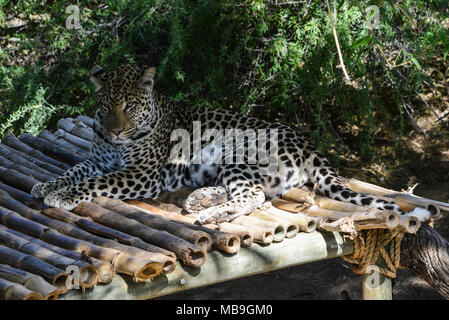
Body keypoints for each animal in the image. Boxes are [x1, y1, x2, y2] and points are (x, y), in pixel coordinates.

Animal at [30, 63, 400, 224]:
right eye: (106, 105)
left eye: (130, 105)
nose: (117, 132)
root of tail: (308, 142)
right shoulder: (97, 160)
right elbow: (74, 170)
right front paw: (47, 185)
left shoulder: (141, 174)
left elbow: (96, 182)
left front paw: (64, 195)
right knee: (258, 192)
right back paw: (201, 199)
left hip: (238, 150)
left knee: (254, 196)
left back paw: (211, 213)